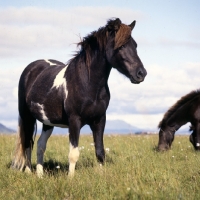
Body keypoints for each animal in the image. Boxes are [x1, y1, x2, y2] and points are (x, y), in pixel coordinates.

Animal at [12, 18, 147, 176]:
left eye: (135, 45)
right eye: (122, 46)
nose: (141, 73)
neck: (88, 84)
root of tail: (31, 68)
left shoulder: (99, 120)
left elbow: (100, 152)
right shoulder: (74, 121)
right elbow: (73, 154)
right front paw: (71, 178)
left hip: (48, 121)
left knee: (40, 145)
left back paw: (40, 175)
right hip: (27, 117)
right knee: (27, 144)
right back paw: (28, 171)